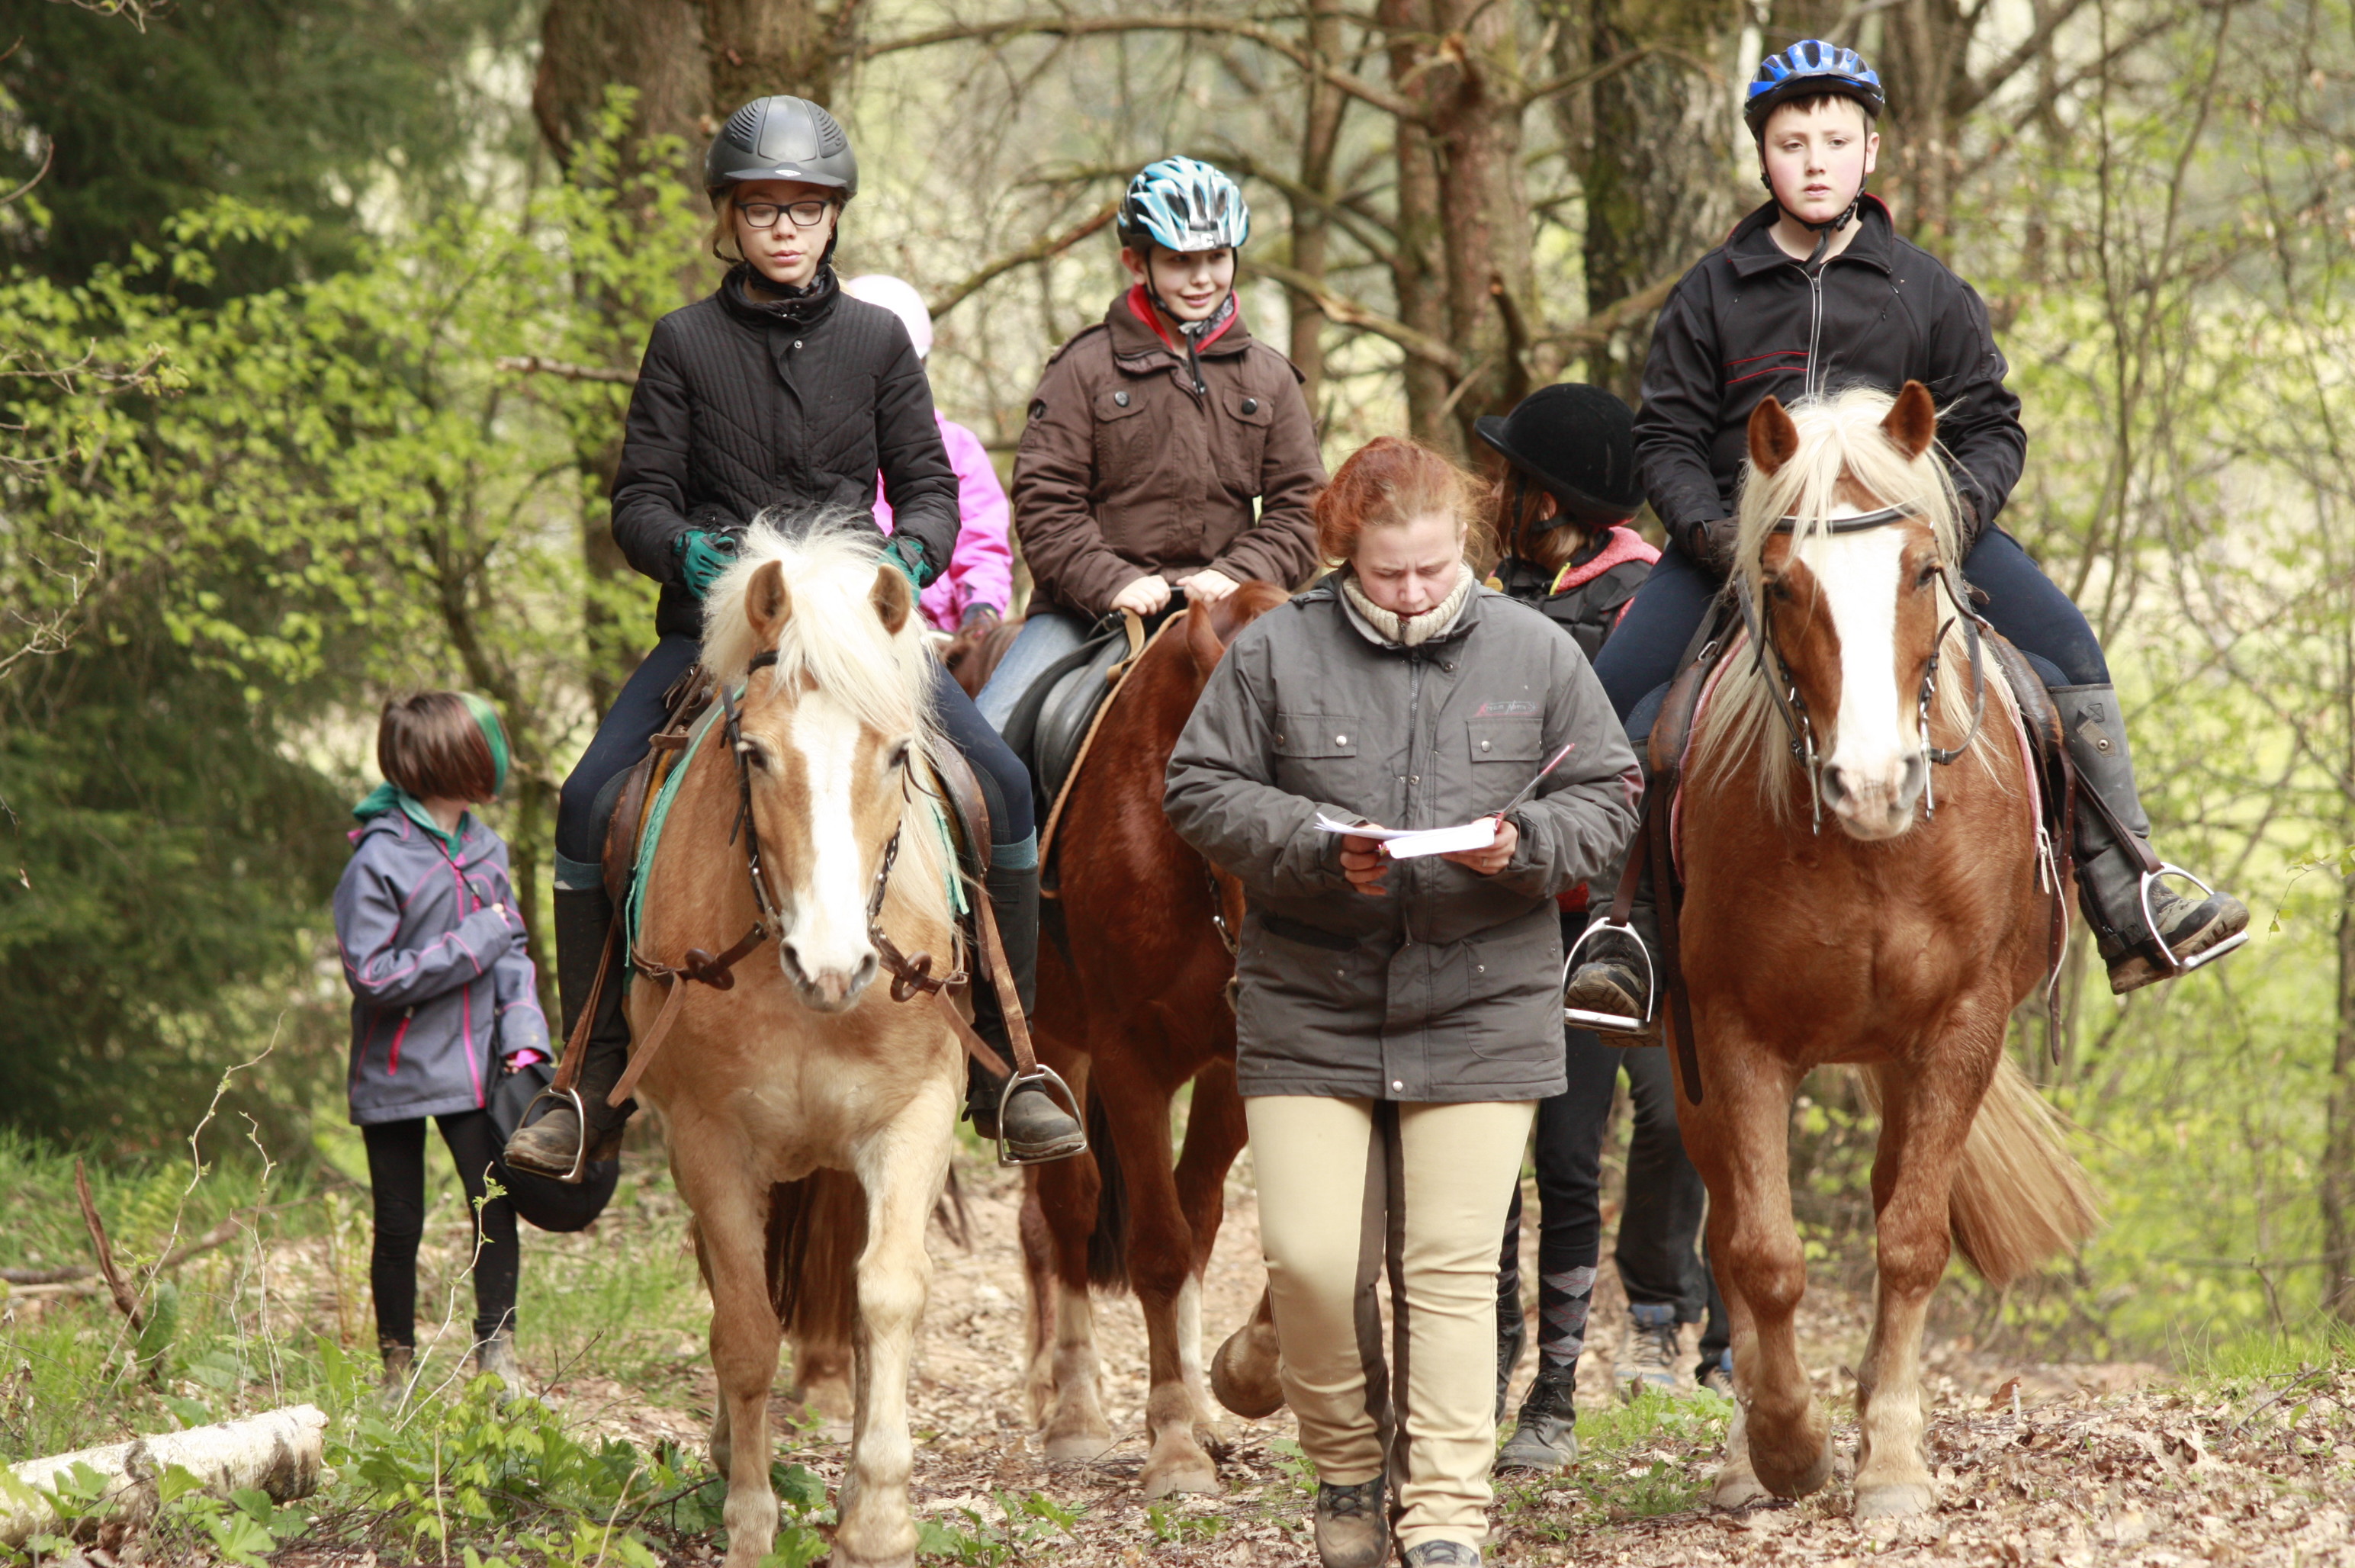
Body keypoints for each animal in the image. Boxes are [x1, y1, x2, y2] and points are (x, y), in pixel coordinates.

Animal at [626, 522, 965, 1563]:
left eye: (897, 753)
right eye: (754, 753)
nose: (835, 963)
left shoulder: (915, 1117)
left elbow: (888, 1295)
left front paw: (879, 1523)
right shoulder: (708, 1139)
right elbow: (743, 1328)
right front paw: (748, 1519)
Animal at [1026, 577, 1300, 1488]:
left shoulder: (1244, 1066)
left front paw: (1240, 1377)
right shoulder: (1124, 1057)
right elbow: (1153, 1246)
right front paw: (1175, 1440)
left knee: (1194, 1209)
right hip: (1051, 1043)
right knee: (1068, 1208)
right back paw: (1076, 1412)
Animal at [1676, 381, 2100, 1516]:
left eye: (1919, 570)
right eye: (1782, 585)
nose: (1872, 784)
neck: (1871, 852)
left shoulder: (1961, 1026)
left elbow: (1912, 1239)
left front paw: (1896, 1460)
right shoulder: (1731, 1033)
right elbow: (1764, 1252)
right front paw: (1784, 1446)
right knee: (1724, 1232)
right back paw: (1746, 1454)